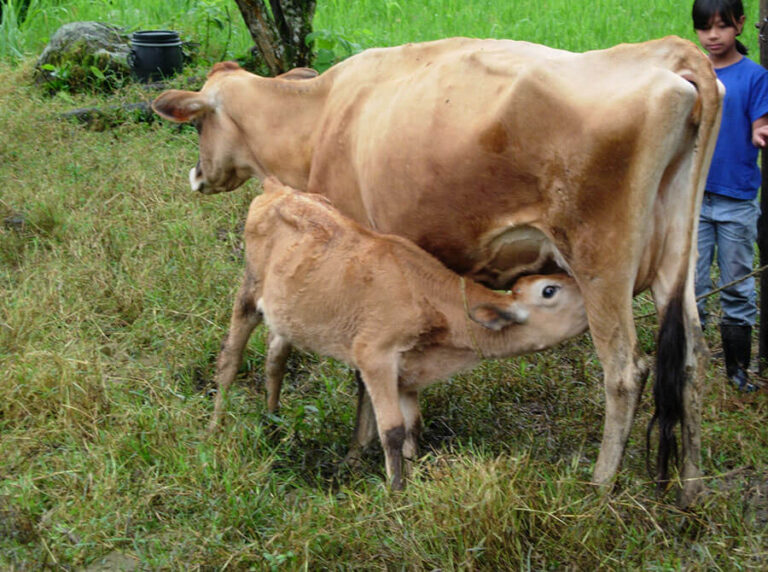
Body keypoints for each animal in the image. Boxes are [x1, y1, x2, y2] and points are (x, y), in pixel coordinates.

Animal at [209, 178, 589, 489]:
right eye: (549, 290)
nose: (588, 293)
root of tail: (279, 189)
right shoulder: (374, 356)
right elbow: (390, 429)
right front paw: (396, 491)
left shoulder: (409, 371)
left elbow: (413, 425)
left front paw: (415, 473)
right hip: (249, 291)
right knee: (230, 358)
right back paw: (217, 427)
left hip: (288, 313)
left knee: (276, 359)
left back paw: (272, 424)